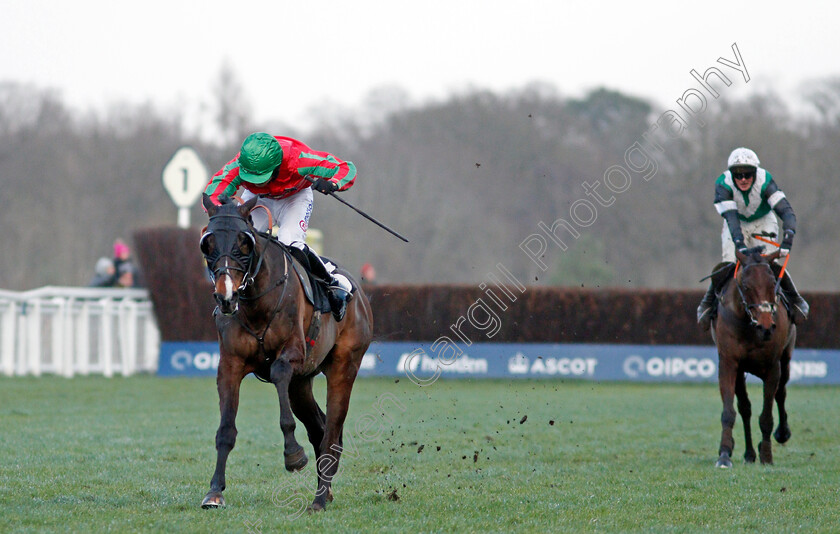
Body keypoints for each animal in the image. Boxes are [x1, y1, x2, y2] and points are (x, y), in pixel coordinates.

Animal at [199, 195, 372, 512]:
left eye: (244, 242)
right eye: (208, 243)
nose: (226, 296)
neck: (256, 303)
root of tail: (360, 295)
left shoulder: (293, 354)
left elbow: (279, 374)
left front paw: (293, 454)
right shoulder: (230, 364)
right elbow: (226, 429)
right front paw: (215, 492)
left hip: (344, 365)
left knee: (331, 434)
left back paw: (319, 499)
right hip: (301, 383)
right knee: (319, 428)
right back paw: (325, 489)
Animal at [716, 248, 796, 468]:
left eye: (773, 284)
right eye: (746, 286)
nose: (766, 326)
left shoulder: (772, 367)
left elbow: (767, 416)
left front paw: (767, 455)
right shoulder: (729, 363)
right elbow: (730, 412)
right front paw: (724, 454)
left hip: (786, 359)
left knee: (781, 393)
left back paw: (782, 433)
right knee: (745, 408)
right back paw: (749, 453)